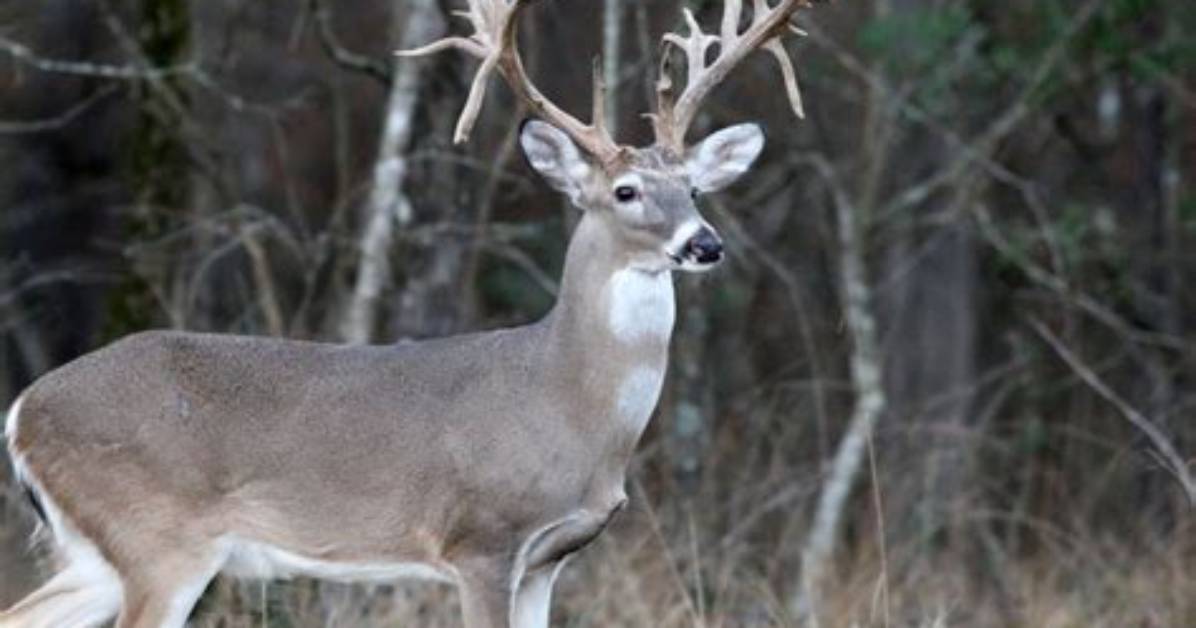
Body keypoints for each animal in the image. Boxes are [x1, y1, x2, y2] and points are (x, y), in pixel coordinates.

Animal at [1, 1, 821, 626]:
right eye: (625, 192)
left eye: (696, 190)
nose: (705, 244)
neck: (568, 403)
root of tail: (20, 412)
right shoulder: (481, 541)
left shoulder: (548, 561)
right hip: (158, 535)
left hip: (102, 554)